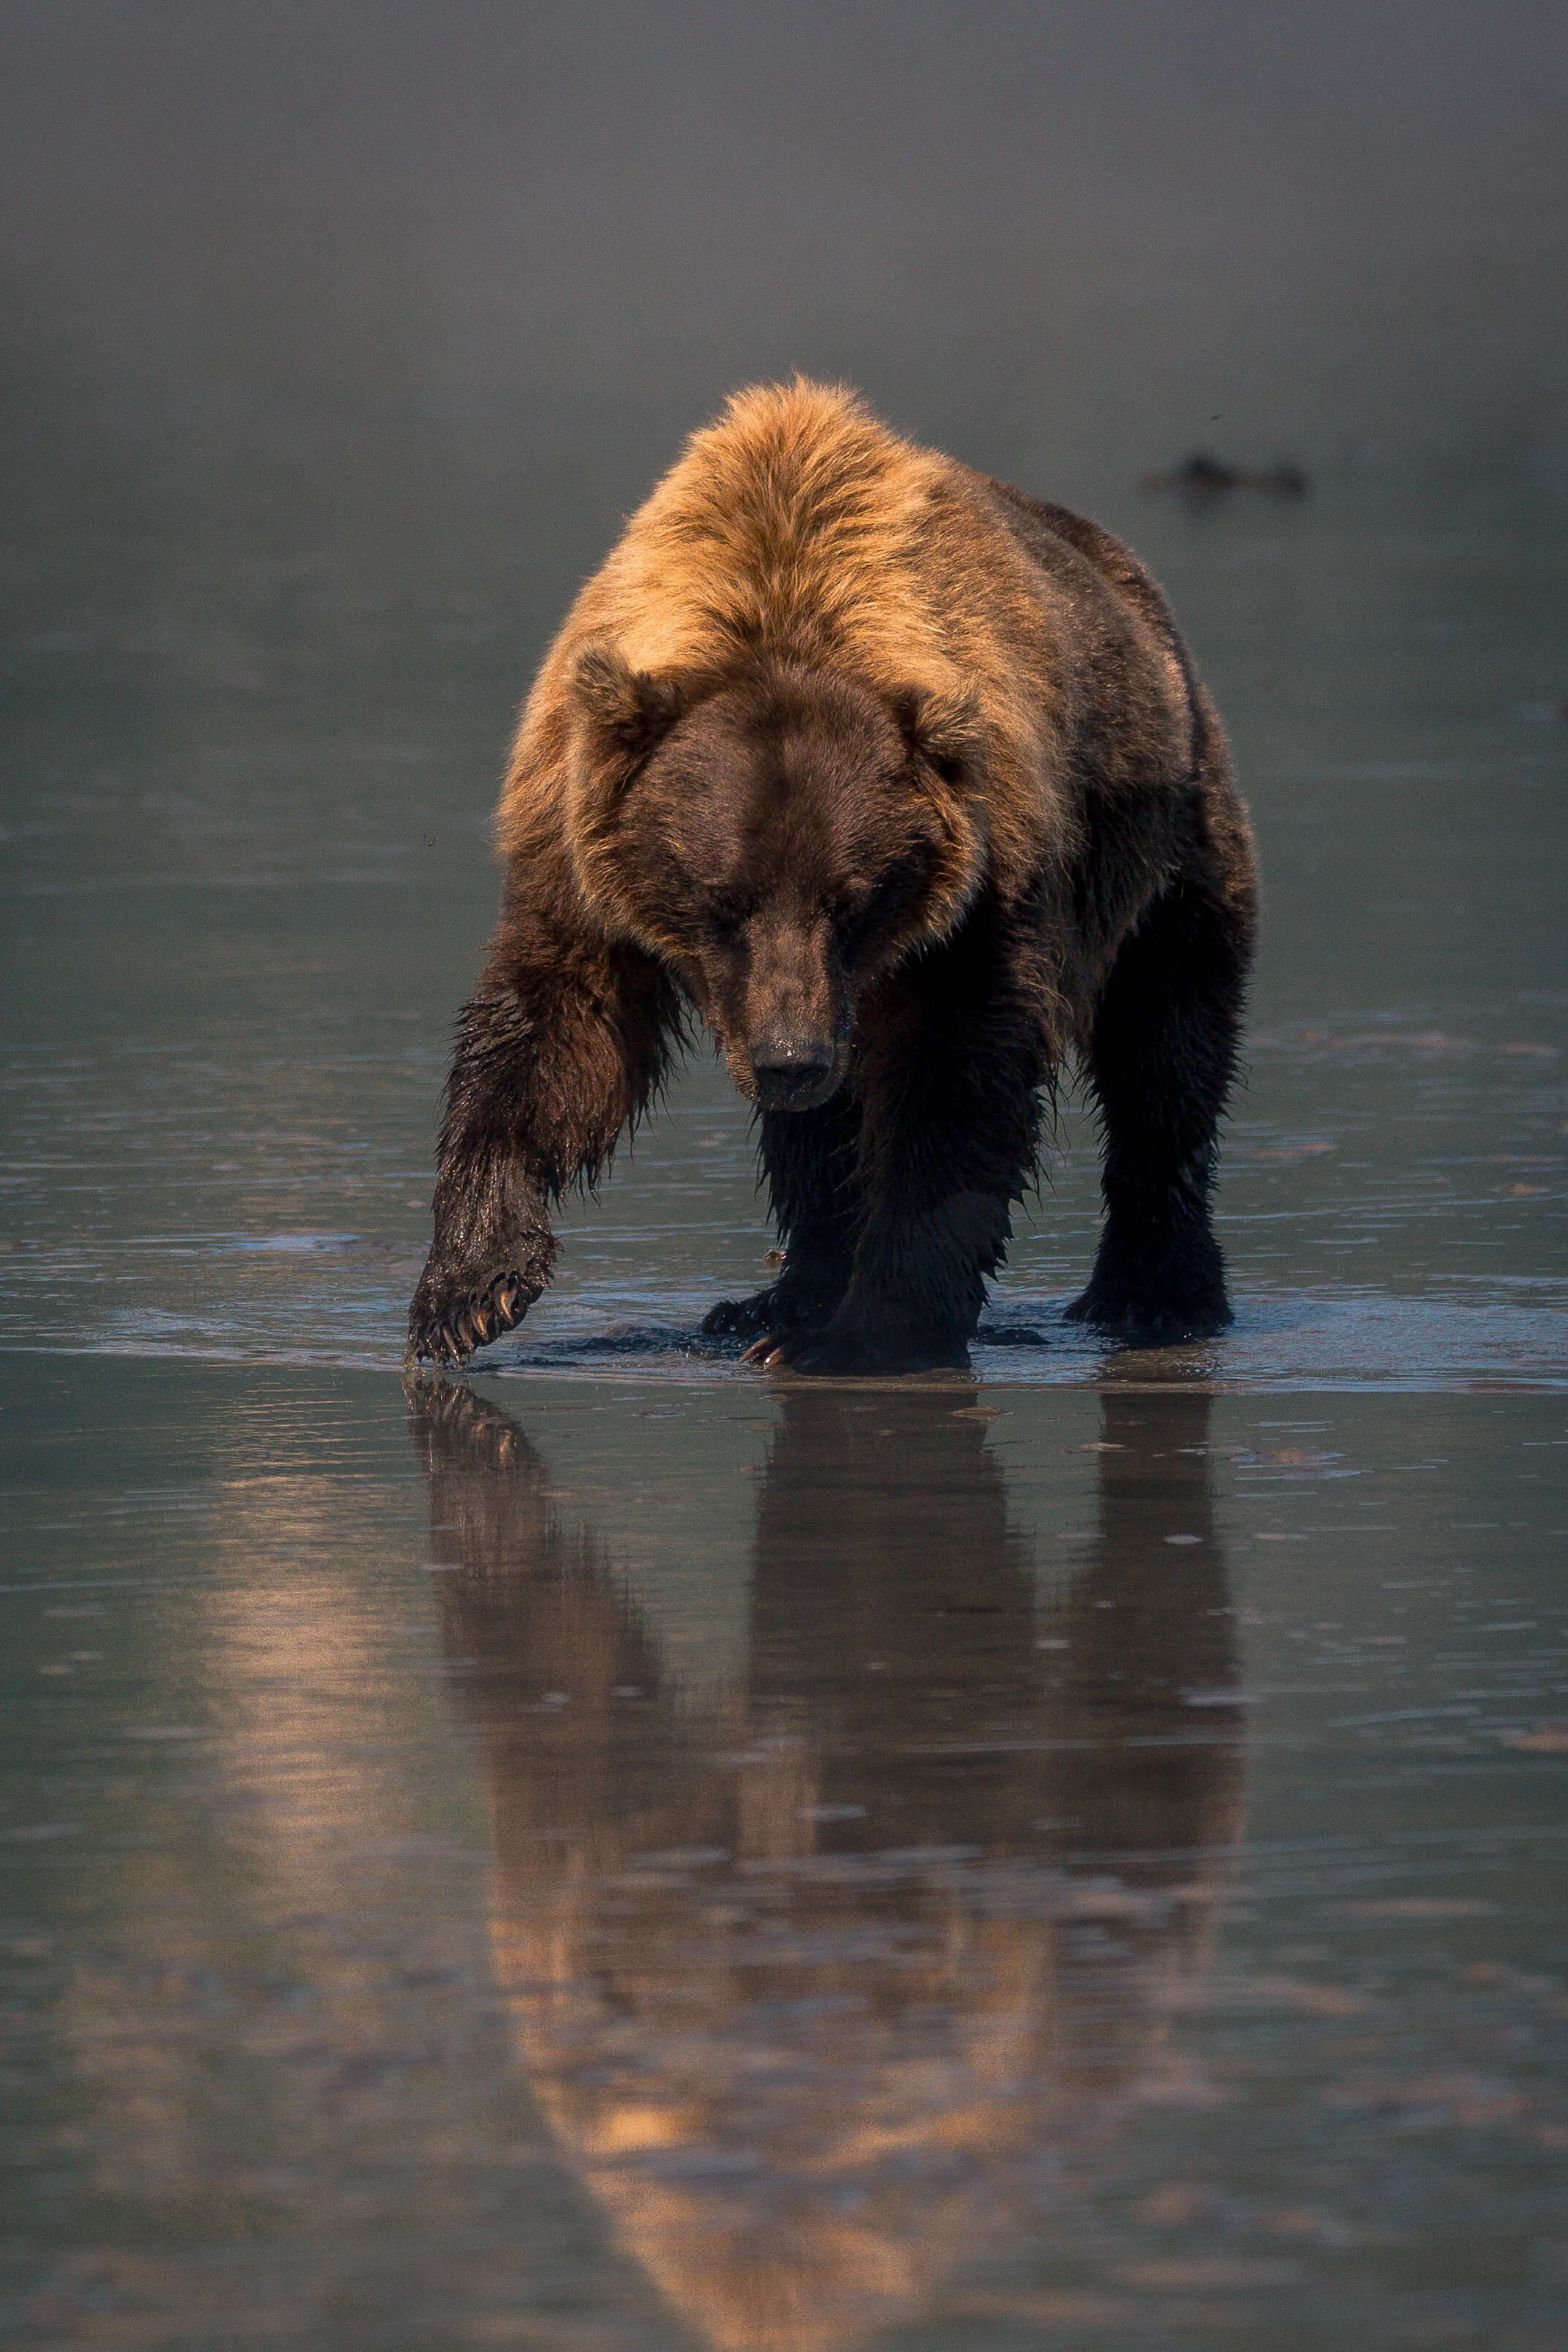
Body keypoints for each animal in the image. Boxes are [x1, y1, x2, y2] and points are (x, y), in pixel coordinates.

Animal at [407, 379, 1258, 1374]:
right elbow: (554, 1035)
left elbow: (953, 1079)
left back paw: (1153, 1292)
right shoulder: (577, 843)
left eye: (853, 899)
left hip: (1169, 838)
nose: (790, 1055)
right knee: (818, 1130)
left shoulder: (977, 888)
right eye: (721, 899)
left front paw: (868, 1330)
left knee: (1166, 1052)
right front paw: (468, 1292)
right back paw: (773, 1294)